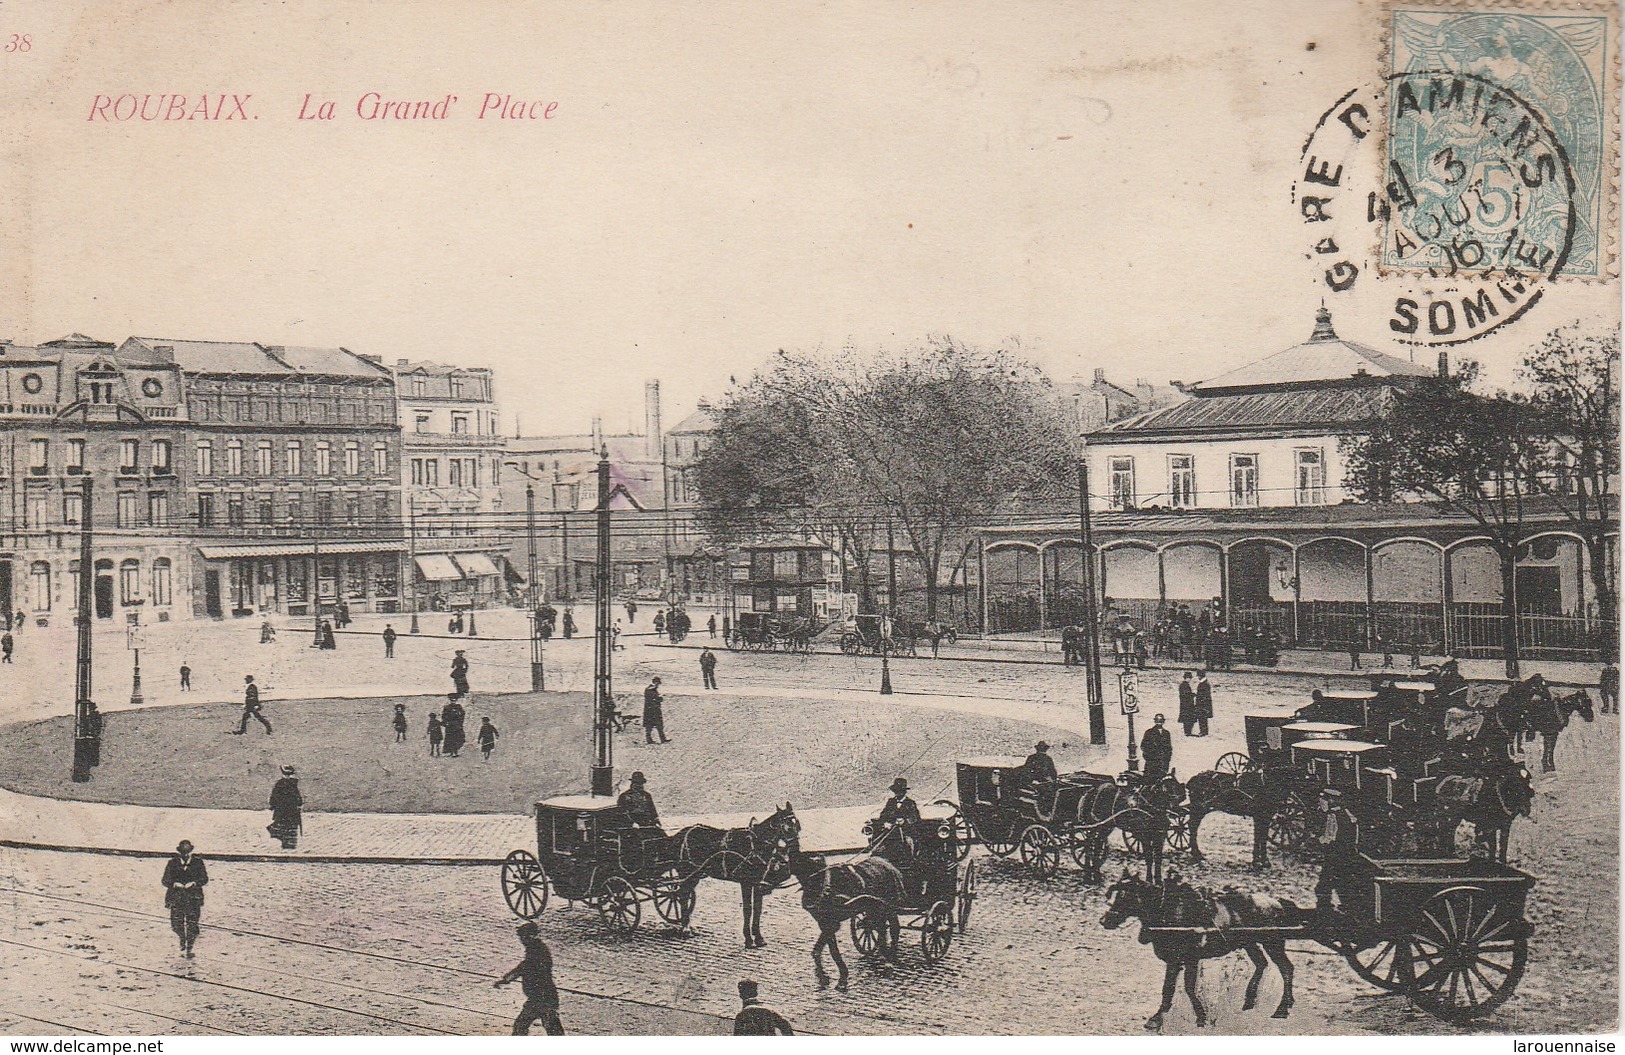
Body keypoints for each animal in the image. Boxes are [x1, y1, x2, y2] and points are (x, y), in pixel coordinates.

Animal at [669, 799, 802, 949]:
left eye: (797, 825)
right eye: (787, 827)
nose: (796, 850)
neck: (755, 845)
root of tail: (678, 834)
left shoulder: (757, 883)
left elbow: (758, 909)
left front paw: (759, 937)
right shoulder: (746, 882)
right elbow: (748, 909)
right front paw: (748, 939)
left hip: (694, 875)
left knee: (683, 894)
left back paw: (687, 926)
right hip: (686, 872)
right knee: (683, 896)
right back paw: (685, 929)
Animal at [783, 845, 903, 988]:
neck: (821, 882)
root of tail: (889, 865)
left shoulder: (832, 923)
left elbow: (832, 950)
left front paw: (842, 977)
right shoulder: (823, 922)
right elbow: (820, 948)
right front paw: (825, 976)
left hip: (888, 908)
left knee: (894, 928)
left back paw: (890, 958)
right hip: (875, 909)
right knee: (880, 928)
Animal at [1098, 871, 1300, 1027]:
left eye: (1125, 896)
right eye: (1114, 895)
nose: (1104, 920)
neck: (1171, 912)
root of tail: (1276, 901)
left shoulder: (1190, 959)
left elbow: (1188, 987)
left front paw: (1201, 1017)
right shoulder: (1173, 961)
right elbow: (1168, 988)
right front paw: (1157, 1017)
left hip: (1273, 943)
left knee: (1286, 968)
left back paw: (1282, 1008)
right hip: (1249, 942)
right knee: (1262, 964)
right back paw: (1250, 1002)